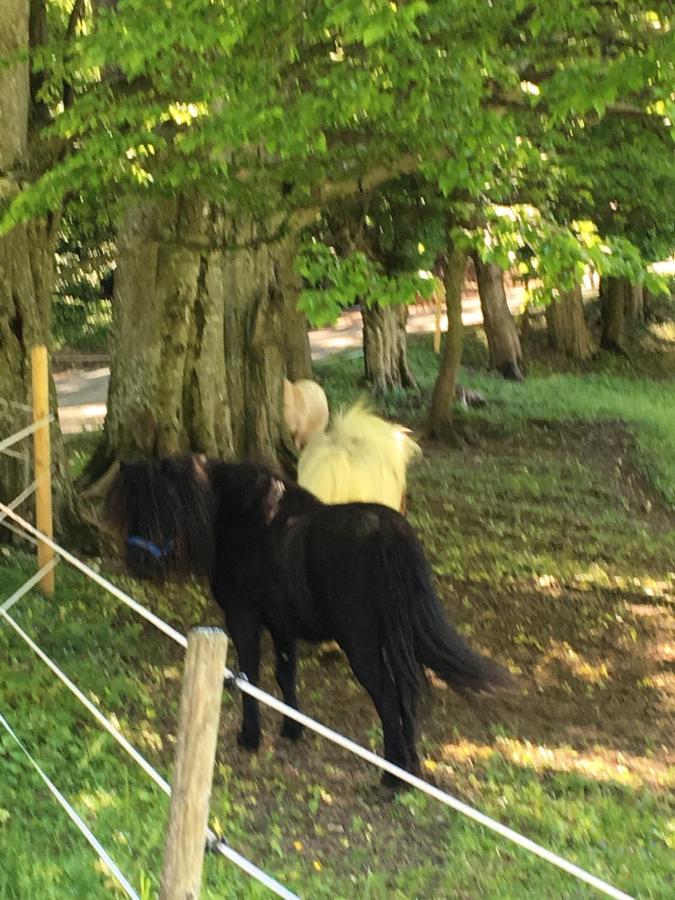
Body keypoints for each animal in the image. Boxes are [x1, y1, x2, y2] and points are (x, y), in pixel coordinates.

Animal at [104, 458, 508, 780]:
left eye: (162, 505)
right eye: (130, 507)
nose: (138, 562)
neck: (246, 521)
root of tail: (386, 532)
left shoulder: (243, 618)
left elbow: (250, 674)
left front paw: (250, 736)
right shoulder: (282, 626)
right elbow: (286, 675)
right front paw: (292, 730)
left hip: (361, 645)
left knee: (388, 694)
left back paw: (393, 776)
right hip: (395, 641)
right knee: (408, 692)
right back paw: (411, 769)